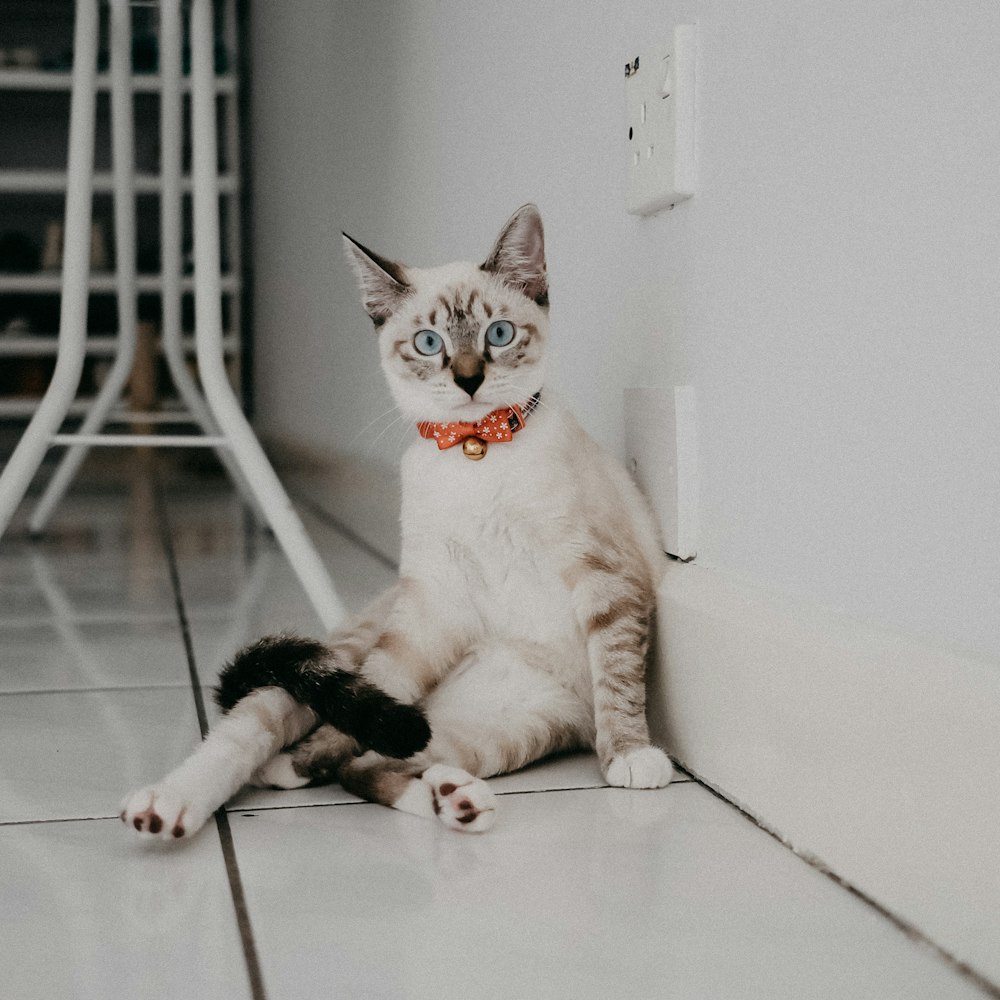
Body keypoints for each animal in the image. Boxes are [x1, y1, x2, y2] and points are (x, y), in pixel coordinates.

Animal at [121, 203, 676, 836]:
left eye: (499, 334)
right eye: (429, 343)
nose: (468, 379)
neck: (475, 451)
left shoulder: (604, 577)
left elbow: (617, 674)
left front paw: (630, 754)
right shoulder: (428, 609)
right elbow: (368, 700)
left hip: (508, 727)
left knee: (369, 765)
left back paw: (451, 799)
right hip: (344, 660)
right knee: (275, 731)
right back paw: (174, 804)